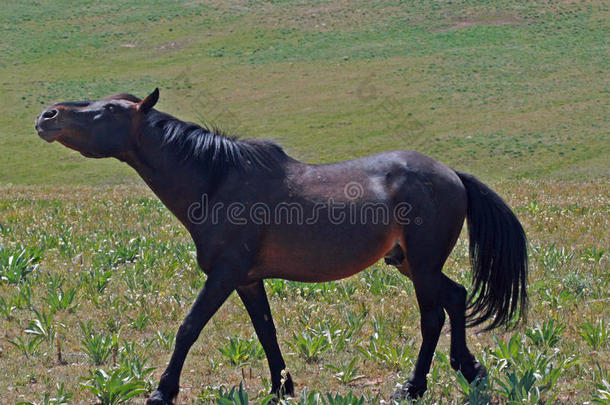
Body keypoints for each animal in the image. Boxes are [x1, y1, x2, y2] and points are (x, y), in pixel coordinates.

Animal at [35, 87, 524, 400]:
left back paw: (415, 387)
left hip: (421, 266)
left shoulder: (224, 274)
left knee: (432, 318)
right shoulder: (248, 280)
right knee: (456, 297)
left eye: (108, 110)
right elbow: (266, 332)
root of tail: (451, 174)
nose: (47, 116)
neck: (217, 180)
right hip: (407, 262)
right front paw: (281, 386)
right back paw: (470, 369)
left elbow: (189, 327)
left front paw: (163, 390)